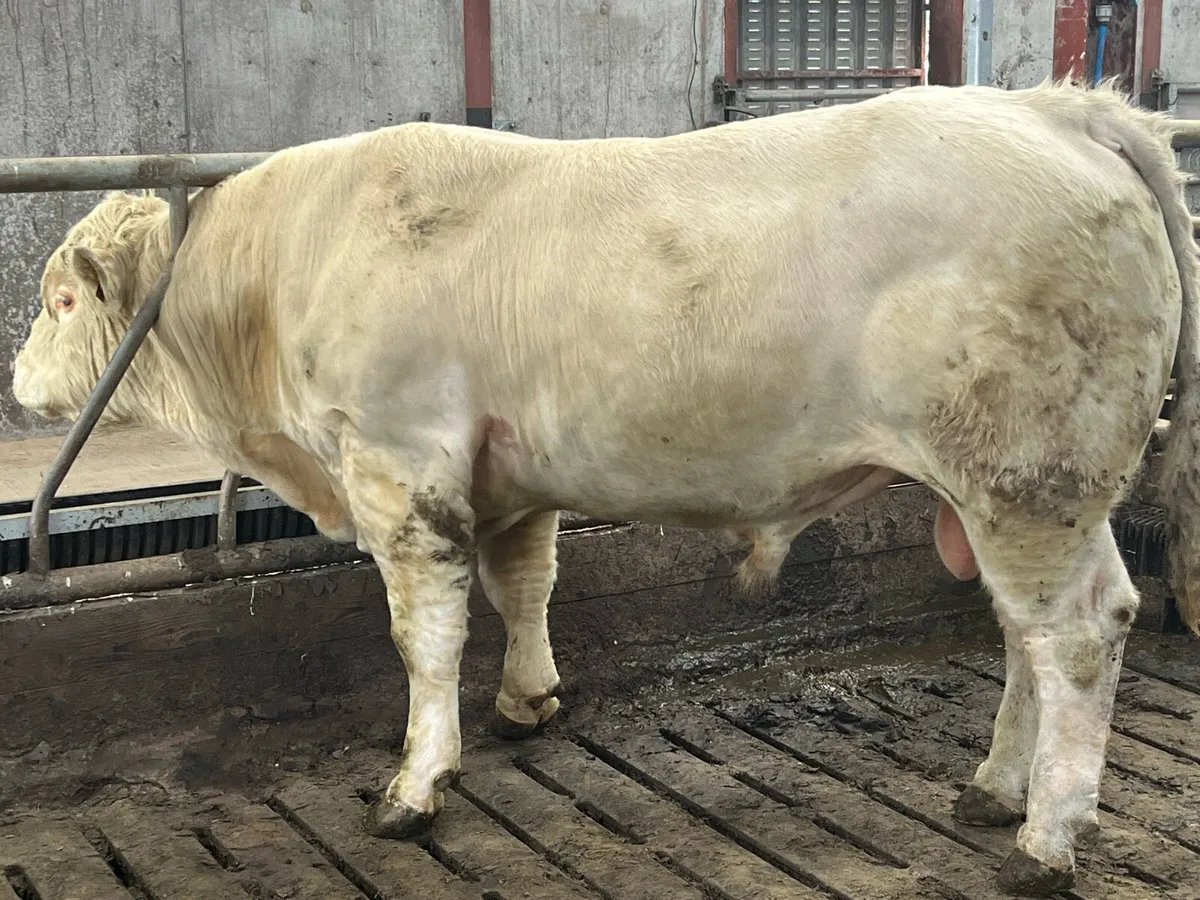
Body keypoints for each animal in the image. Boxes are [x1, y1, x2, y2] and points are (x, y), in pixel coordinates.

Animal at [12, 80, 1200, 896]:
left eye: (61, 301)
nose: (17, 380)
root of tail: (1054, 108)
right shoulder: (509, 471)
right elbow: (524, 586)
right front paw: (529, 699)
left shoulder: (402, 465)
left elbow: (425, 638)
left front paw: (416, 784)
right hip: (1007, 492)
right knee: (1024, 636)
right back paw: (995, 787)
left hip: (1029, 477)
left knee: (1079, 632)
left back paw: (1045, 837)